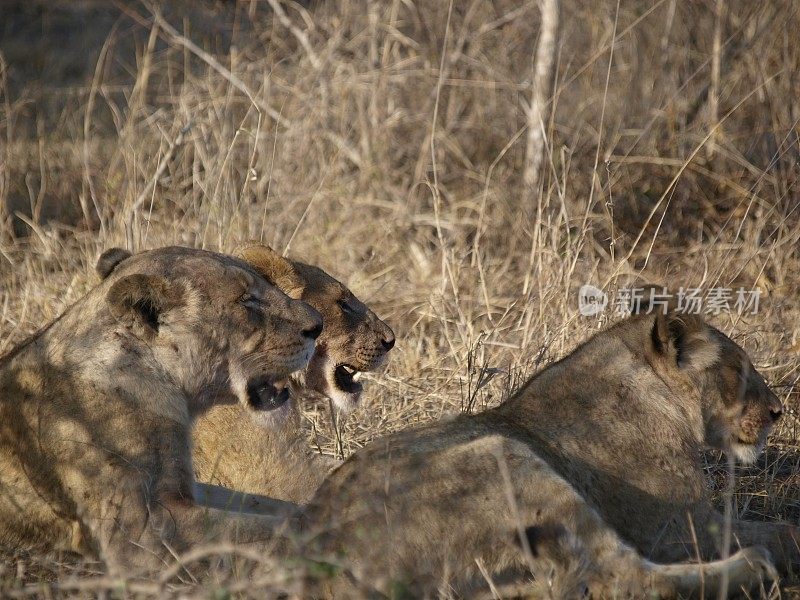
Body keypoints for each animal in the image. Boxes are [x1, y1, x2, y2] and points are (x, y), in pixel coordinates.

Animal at [1, 245, 324, 576]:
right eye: (246, 299)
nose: (319, 324)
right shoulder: (136, 534)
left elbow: (264, 505)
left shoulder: (181, 486)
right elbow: (262, 528)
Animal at [296, 308, 792, 596]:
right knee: (628, 578)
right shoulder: (674, 527)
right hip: (509, 459)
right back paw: (756, 568)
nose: (778, 411)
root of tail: (321, 561)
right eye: (738, 369)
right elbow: (781, 531)